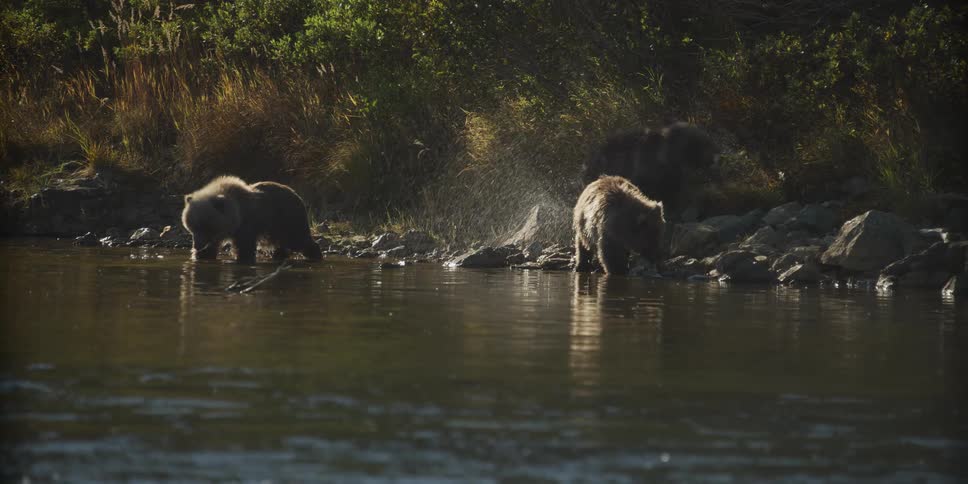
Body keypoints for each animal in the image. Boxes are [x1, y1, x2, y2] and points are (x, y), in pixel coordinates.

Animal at [181, 176, 322, 263]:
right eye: (191, 227)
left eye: (205, 226)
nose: (197, 245)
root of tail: (297, 195)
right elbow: (210, 248)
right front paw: (201, 255)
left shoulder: (247, 223)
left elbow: (245, 247)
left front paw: (243, 258)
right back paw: (278, 255)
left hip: (286, 218)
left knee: (298, 239)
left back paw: (315, 255)